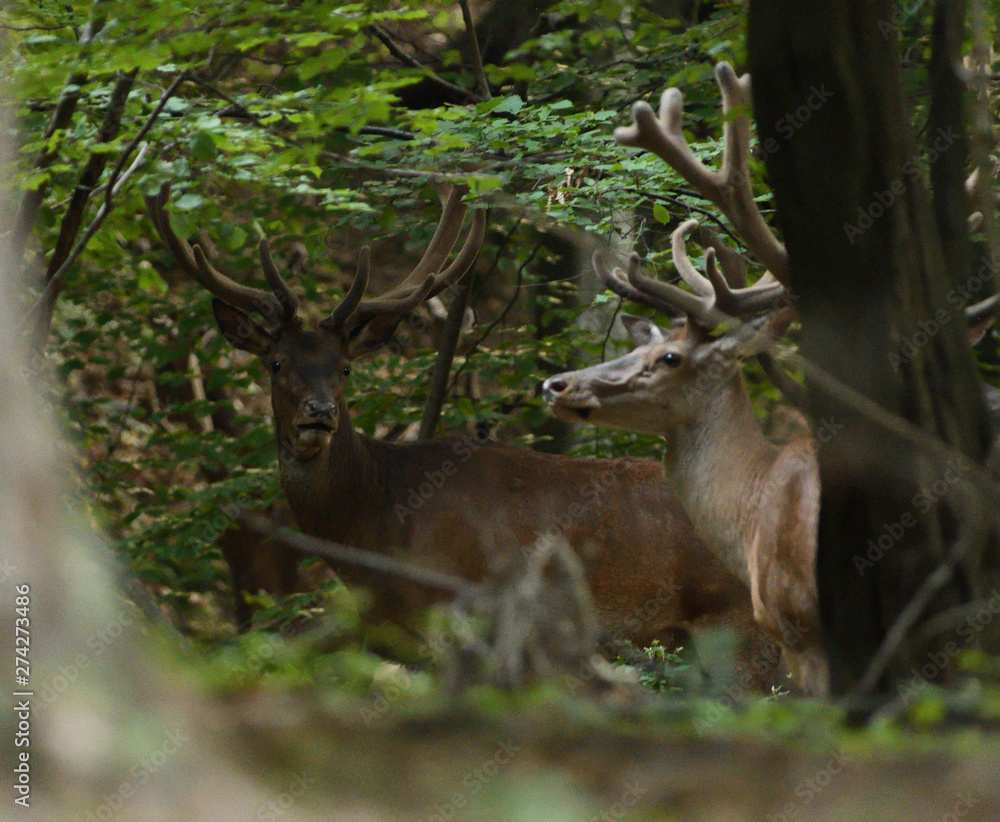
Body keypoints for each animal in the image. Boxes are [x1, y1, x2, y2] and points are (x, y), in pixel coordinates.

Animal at [145, 182, 786, 691]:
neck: (381, 517)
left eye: (345, 367)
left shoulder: (464, 613)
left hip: (738, 622)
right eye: (276, 363)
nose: (319, 414)